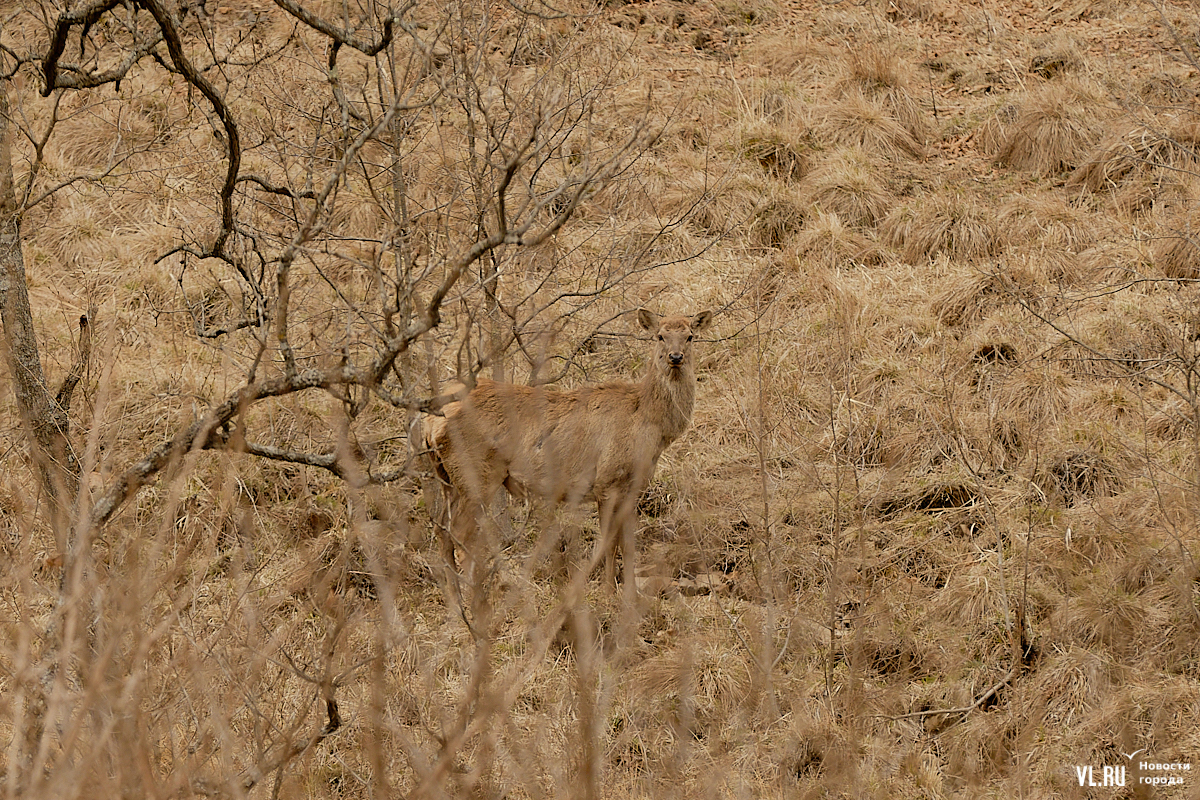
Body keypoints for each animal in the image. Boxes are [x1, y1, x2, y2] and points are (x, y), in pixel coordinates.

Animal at [427, 309, 710, 592]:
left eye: (690, 336)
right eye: (660, 336)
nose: (676, 357)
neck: (650, 425)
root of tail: (432, 422)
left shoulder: (633, 486)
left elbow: (629, 544)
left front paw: (629, 592)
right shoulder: (607, 481)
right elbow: (609, 541)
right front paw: (607, 591)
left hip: (447, 476)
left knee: (442, 529)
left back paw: (455, 593)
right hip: (477, 471)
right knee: (460, 532)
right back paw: (474, 590)